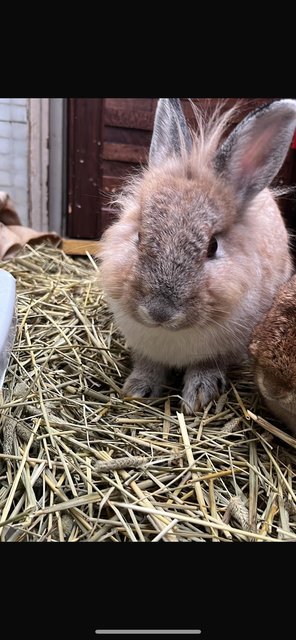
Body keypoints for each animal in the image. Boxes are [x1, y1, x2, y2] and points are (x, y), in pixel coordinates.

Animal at [99, 97, 296, 412]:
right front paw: (138, 390)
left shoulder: (222, 349)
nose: (159, 312)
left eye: (212, 246)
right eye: (139, 236)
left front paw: (198, 398)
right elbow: (148, 366)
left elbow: (206, 367)